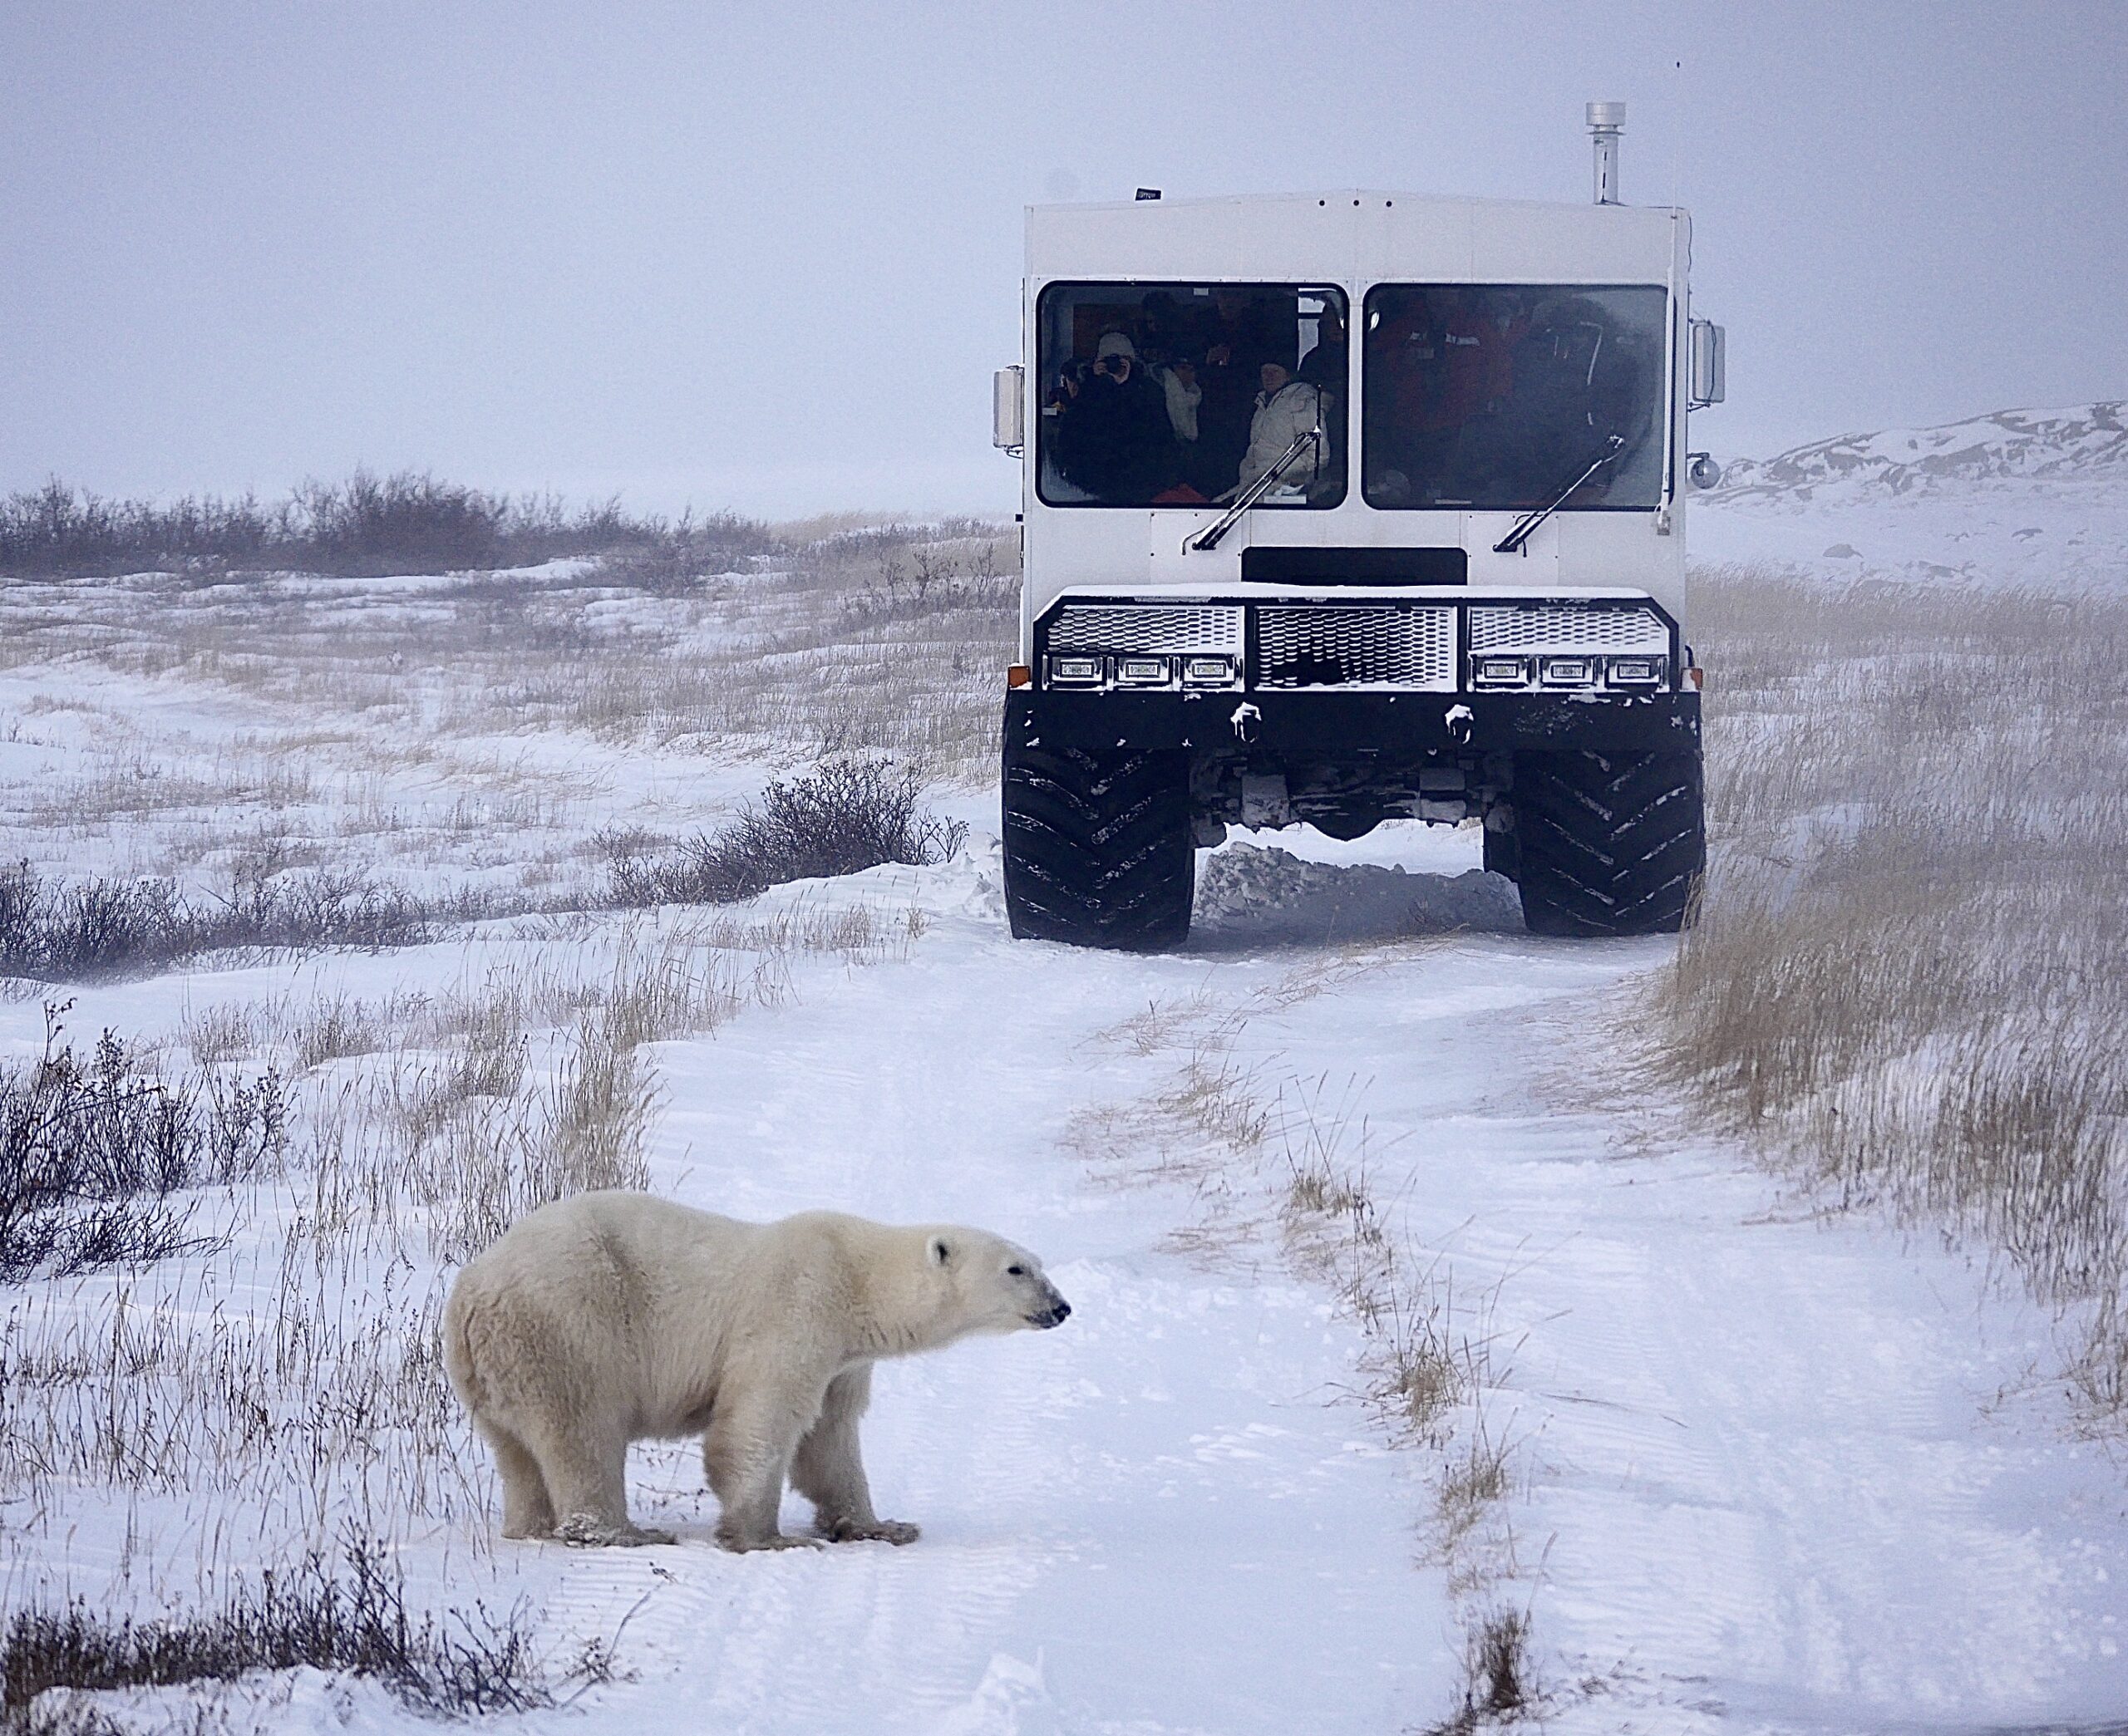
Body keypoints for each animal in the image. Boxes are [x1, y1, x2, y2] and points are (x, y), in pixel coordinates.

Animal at [440, 1190, 1071, 1551]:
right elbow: (761, 1421)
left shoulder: (844, 1359)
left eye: (1039, 1263)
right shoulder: (797, 1306)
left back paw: (529, 1526)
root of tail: (470, 1293)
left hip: (499, 1369)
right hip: (569, 1328)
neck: (859, 1279)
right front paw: (766, 1538)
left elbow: (832, 1438)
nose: (1062, 1307)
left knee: (518, 1451)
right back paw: (624, 1531)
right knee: (582, 1431)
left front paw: (881, 1525)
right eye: (1016, 1268)